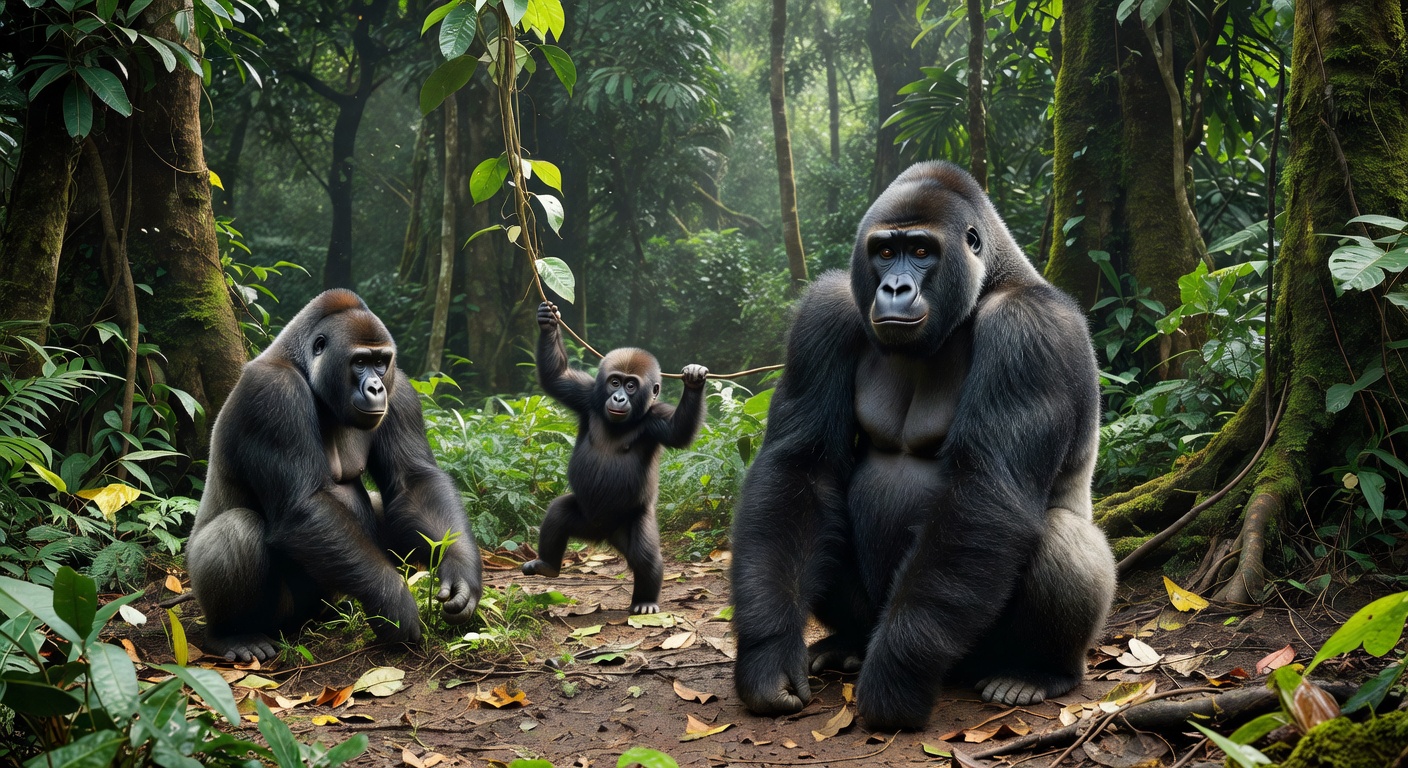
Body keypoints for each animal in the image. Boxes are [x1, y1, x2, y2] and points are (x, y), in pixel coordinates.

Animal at [186, 290, 482, 662]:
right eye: (359, 362)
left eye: (381, 361)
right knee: (238, 530)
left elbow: (414, 481)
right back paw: (232, 634)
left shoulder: (399, 387)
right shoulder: (273, 392)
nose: (376, 388)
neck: (300, 363)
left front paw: (460, 570)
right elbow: (304, 504)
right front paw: (392, 601)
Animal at [520, 301, 708, 614]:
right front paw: (547, 322)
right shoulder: (587, 396)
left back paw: (644, 601)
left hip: (630, 523)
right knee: (559, 514)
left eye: (631, 386)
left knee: (645, 555)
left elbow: (679, 432)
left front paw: (694, 383)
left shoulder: (656, 419)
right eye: (615, 382)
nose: (619, 398)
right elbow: (556, 378)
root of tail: (603, 536)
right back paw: (547, 564)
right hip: (584, 519)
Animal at [730, 161, 1116, 730]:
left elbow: (984, 489)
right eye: (884, 252)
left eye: (920, 250)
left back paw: (1040, 671)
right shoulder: (826, 310)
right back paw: (849, 641)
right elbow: (799, 467)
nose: (894, 287)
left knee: (1061, 536)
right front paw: (769, 656)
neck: (988, 281)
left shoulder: (1030, 328)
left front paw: (898, 675)